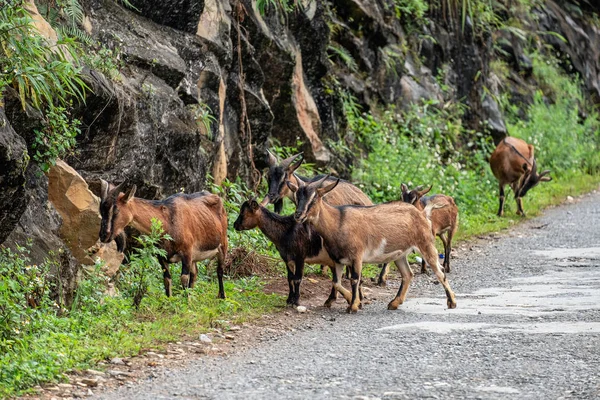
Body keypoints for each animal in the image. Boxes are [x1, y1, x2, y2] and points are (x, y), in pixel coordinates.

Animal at [98, 180, 230, 298]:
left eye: (115, 210)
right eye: (101, 210)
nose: (104, 235)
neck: (168, 220)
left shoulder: (186, 253)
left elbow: (183, 278)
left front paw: (185, 303)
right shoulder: (162, 256)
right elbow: (167, 279)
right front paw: (169, 302)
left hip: (223, 244)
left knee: (219, 270)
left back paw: (222, 296)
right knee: (195, 273)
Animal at [288, 176, 458, 312]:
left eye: (314, 199)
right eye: (297, 197)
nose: (298, 215)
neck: (338, 222)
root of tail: (421, 214)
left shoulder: (357, 256)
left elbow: (354, 280)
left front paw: (353, 306)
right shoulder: (338, 260)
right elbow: (336, 282)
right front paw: (352, 300)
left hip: (426, 243)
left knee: (440, 271)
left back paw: (452, 302)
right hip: (400, 254)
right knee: (408, 274)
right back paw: (394, 303)